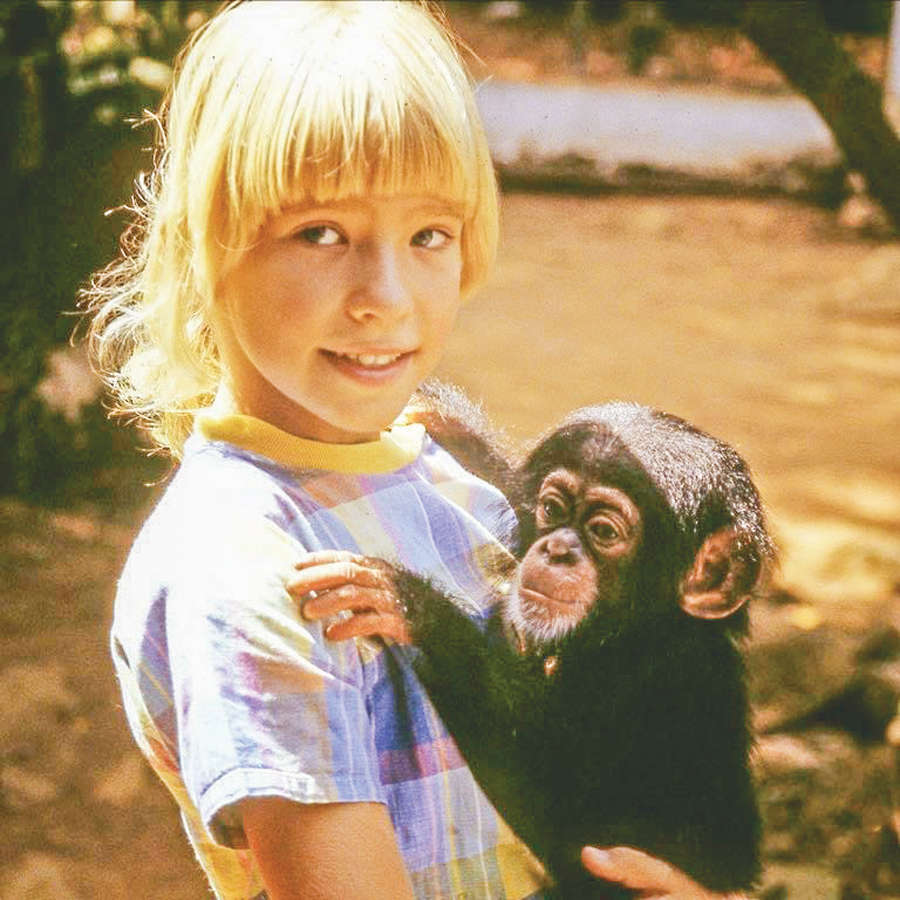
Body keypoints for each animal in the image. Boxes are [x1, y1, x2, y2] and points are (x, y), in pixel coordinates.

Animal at [294, 400, 768, 900]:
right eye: (553, 508)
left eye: (603, 531)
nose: (558, 548)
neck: (630, 635)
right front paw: (459, 429)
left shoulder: (669, 683)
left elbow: (558, 814)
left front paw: (408, 602)